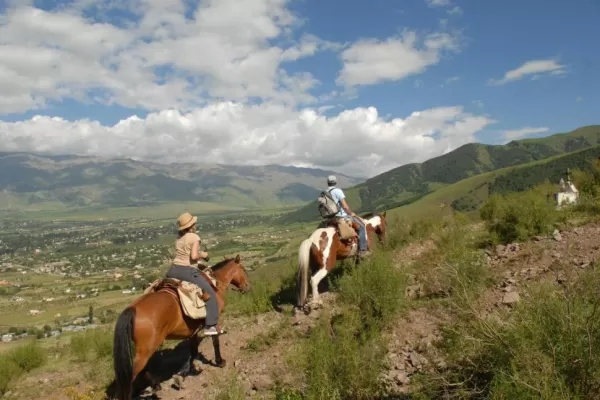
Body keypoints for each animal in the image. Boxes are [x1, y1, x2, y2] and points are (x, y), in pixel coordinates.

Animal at [112, 256, 251, 400]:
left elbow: (193, 351)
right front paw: (220, 362)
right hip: (146, 349)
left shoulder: (193, 331)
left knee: (141, 370)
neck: (214, 284)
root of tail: (132, 308)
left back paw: (156, 385)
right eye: (243, 269)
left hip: (143, 349)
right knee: (131, 376)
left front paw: (184, 373)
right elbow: (215, 340)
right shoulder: (214, 321)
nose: (247, 287)